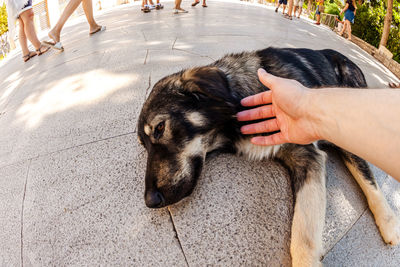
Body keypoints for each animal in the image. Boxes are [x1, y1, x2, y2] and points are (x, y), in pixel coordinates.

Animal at [138, 47, 400, 266]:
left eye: (160, 128)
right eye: (144, 145)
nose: (151, 201)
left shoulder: (309, 154)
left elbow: (303, 236)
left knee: (367, 175)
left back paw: (388, 223)